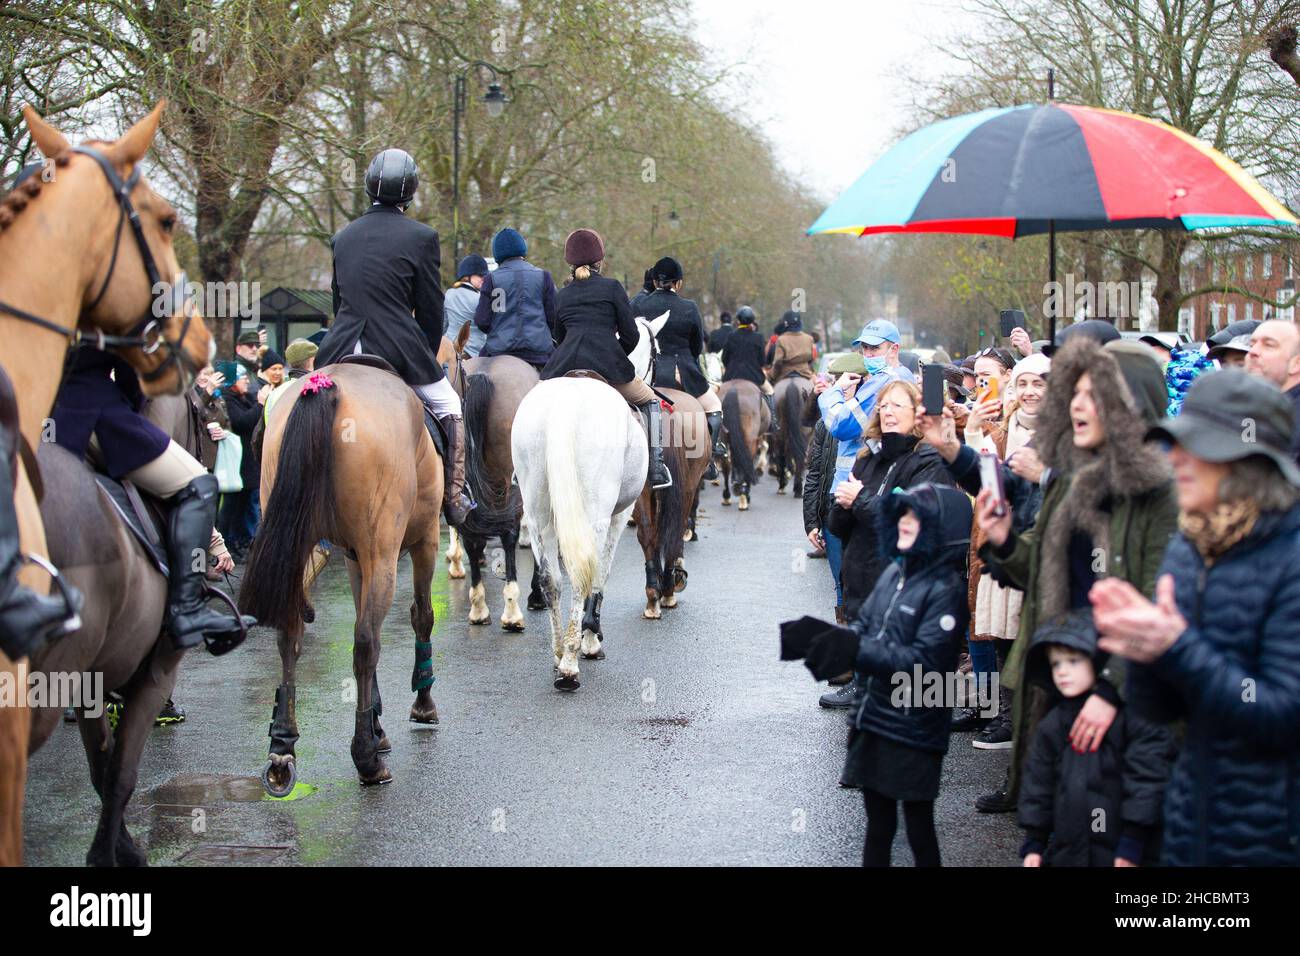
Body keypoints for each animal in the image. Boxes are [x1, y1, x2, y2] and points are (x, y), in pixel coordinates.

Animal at [0, 102, 211, 868]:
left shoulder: (93, 678)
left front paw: (121, 848)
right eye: (167, 218)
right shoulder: (148, 672)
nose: (200, 343)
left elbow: (101, 770)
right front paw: (119, 854)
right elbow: (119, 774)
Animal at [241, 361, 444, 796]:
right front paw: (420, 707)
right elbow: (421, 616)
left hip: (297, 540)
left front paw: (379, 726)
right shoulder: (423, 541)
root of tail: (327, 384)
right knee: (367, 642)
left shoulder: (354, 558)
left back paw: (282, 748)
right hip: (383, 552)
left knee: (290, 635)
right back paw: (366, 759)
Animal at [509, 314, 665, 686]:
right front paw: (591, 637)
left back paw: (557, 652)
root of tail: (566, 402)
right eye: (657, 353)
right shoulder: (618, 515)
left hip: (538, 512)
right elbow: (601, 572)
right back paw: (570, 663)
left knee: (551, 578)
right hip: (594, 512)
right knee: (582, 573)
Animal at [717, 379, 764, 512]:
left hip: (723, 437)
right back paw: (743, 496)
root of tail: (734, 389)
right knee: (747, 461)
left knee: (726, 464)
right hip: (750, 439)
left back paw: (727, 496)